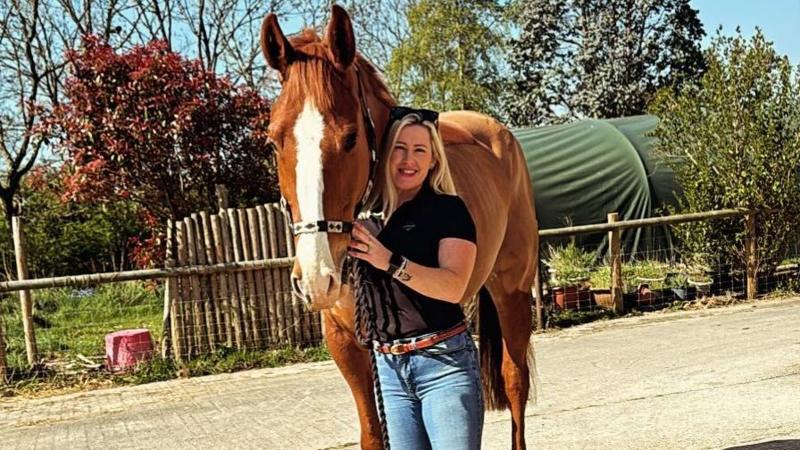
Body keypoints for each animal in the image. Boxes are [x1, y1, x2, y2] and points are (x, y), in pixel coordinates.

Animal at [260, 6, 539, 449]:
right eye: (273, 141)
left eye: (351, 138)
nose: (318, 280)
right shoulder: (346, 342)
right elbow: (373, 432)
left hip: (511, 289)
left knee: (515, 383)